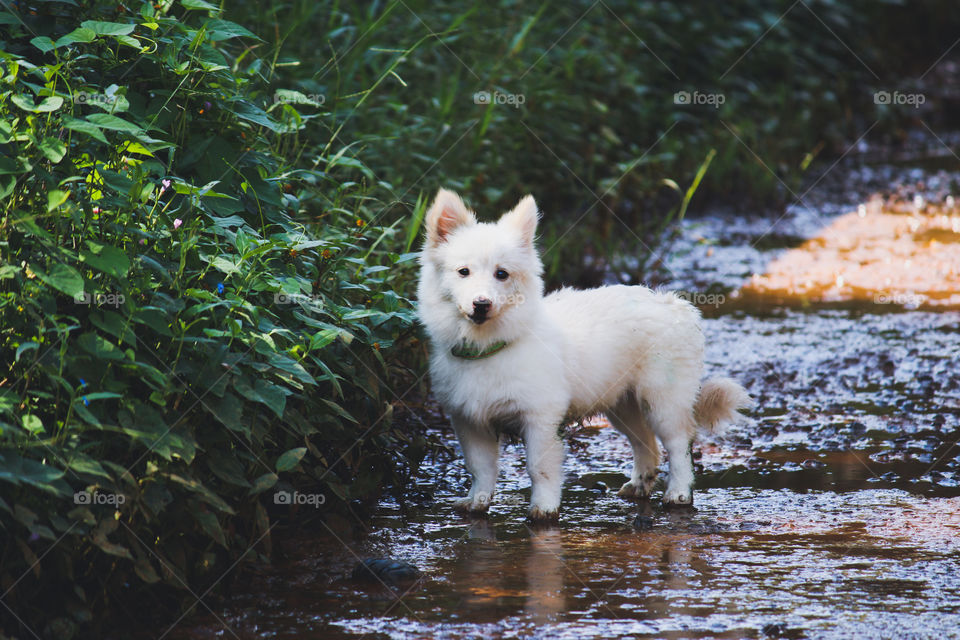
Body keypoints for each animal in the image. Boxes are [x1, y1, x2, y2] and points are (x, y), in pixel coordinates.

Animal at [416, 189, 752, 520]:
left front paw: (544, 508)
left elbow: (538, 467)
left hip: (662, 402)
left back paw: (679, 493)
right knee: (647, 444)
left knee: (679, 444)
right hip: (623, 405)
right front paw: (478, 501)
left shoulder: (541, 419)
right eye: (463, 272)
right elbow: (480, 468)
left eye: (502, 274)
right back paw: (639, 485)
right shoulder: (469, 422)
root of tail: (675, 305)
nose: (482, 304)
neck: (490, 347)